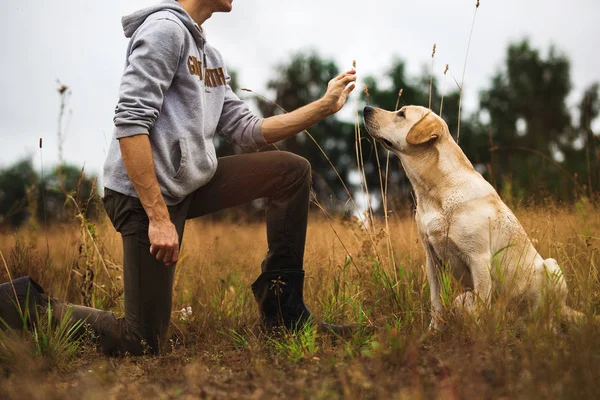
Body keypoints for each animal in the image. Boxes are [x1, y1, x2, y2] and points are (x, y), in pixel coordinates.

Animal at [360, 104, 580, 328]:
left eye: (401, 114)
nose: (366, 108)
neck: (436, 191)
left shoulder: (479, 259)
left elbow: (481, 308)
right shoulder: (432, 261)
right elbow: (436, 302)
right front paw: (433, 330)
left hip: (551, 267)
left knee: (547, 318)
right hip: (463, 298)